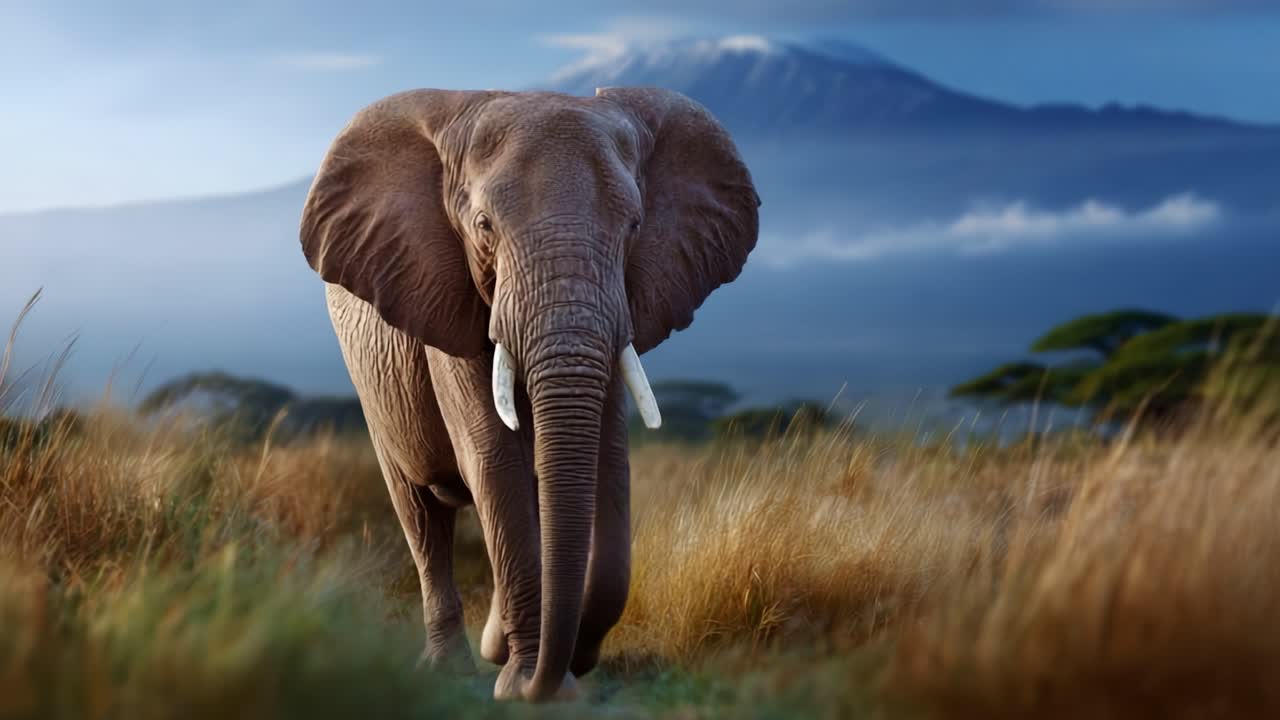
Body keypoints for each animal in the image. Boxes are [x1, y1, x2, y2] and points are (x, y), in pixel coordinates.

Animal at [299, 87, 759, 702]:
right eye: (484, 226)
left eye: (635, 225)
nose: (547, 681)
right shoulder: (448, 295)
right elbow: (495, 460)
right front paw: (527, 685)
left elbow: (607, 464)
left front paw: (561, 668)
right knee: (421, 512)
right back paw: (451, 667)